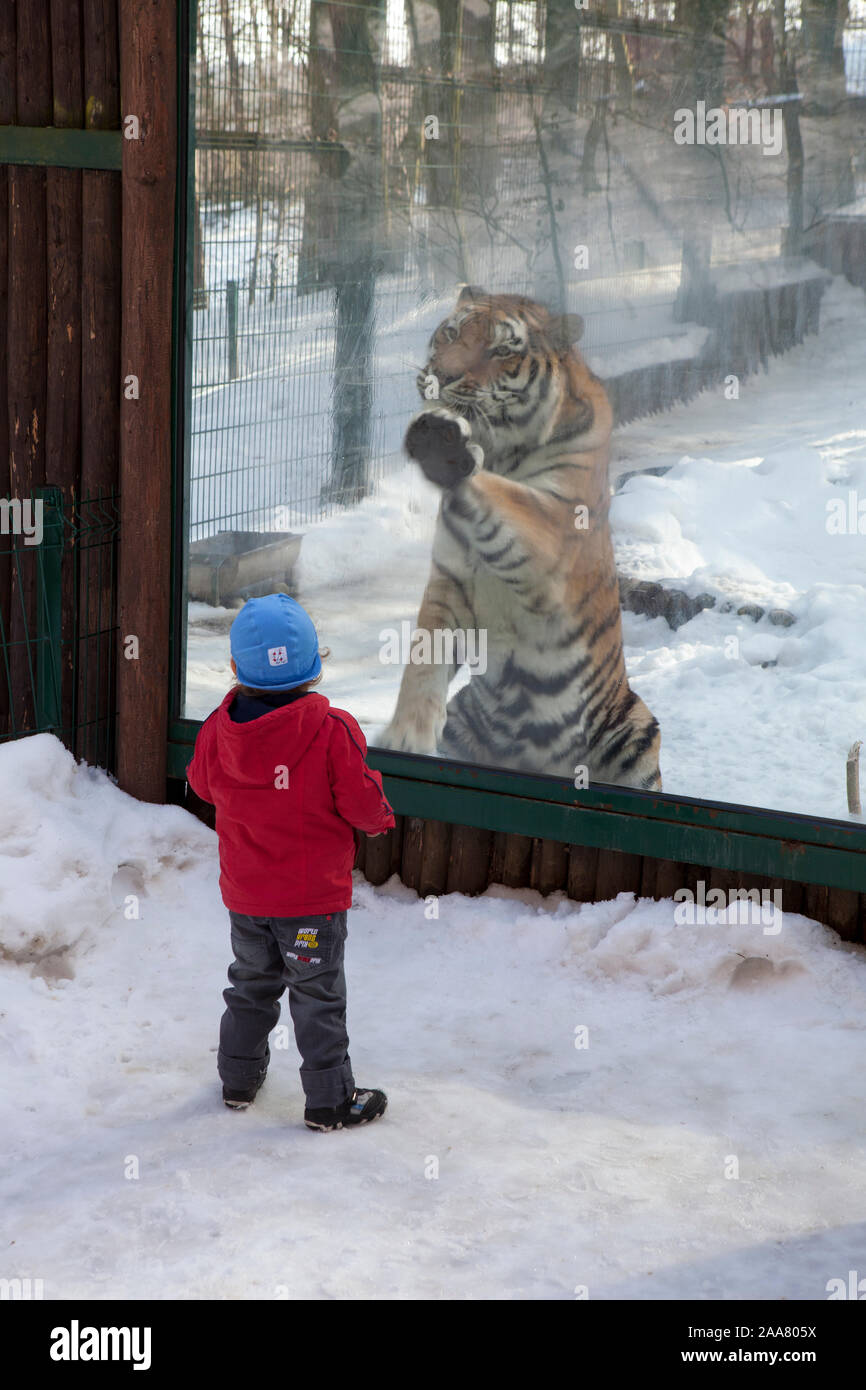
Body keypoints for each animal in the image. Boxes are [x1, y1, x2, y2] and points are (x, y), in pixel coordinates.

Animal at [376, 285, 662, 791]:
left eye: (501, 351)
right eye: (451, 332)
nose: (440, 378)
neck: (500, 449)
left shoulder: (557, 527)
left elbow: (506, 494)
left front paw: (442, 443)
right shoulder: (451, 582)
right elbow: (424, 659)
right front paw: (406, 735)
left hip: (635, 727)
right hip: (464, 716)